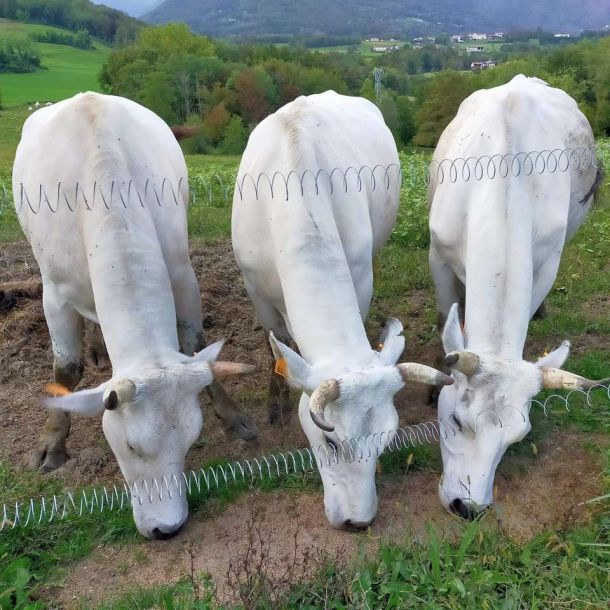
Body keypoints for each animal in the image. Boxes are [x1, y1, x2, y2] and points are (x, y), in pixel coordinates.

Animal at [11, 91, 255, 536]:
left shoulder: (182, 275)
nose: (167, 528)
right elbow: (65, 371)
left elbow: (194, 345)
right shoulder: (54, 293)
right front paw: (53, 442)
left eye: (191, 442)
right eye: (130, 446)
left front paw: (233, 418)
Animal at [233, 91, 452, 528]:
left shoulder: (359, 276)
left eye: (387, 441)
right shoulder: (256, 291)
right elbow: (274, 346)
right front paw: (275, 406)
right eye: (330, 442)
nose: (357, 522)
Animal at [426, 73, 604, 516]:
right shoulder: (438, 255)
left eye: (518, 436)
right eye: (456, 421)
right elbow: (444, 319)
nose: (468, 507)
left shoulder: (547, 263)